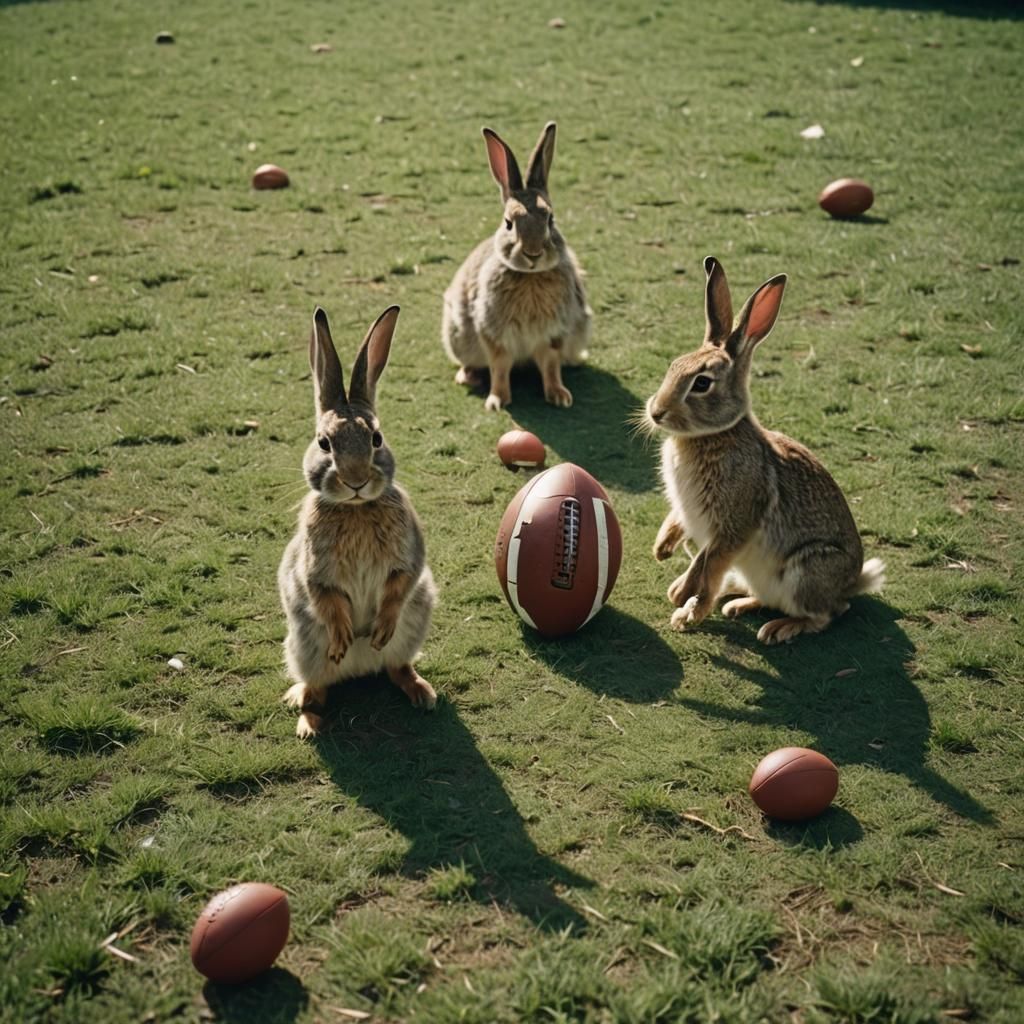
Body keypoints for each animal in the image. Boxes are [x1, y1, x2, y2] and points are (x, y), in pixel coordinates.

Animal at [278, 305, 437, 738]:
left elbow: (399, 585)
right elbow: (325, 597)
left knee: (396, 666)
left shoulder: (409, 557)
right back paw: (307, 721)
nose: (355, 480)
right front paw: (343, 636)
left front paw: (378, 627)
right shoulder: (315, 571)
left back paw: (422, 692)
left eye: (377, 439)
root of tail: (361, 668)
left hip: (415, 623)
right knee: (317, 687)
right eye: (324, 443)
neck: (356, 509)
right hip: (304, 646)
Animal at [442, 121, 592, 411]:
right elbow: (499, 366)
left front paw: (560, 396)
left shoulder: (554, 333)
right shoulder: (493, 333)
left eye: (550, 220)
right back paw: (467, 377)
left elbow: (551, 365)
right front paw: (497, 401)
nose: (533, 254)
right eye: (508, 223)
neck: (530, 277)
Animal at [644, 256, 885, 644]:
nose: (656, 412)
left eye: (702, 383)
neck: (714, 434)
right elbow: (680, 529)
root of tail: (852, 583)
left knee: (826, 614)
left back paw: (777, 628)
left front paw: (683, 605)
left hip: (807, 571)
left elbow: (707, 565)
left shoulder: (734, 523)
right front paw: (663, 551)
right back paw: (738, 604)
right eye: (673, 366)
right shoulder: (691, 514)